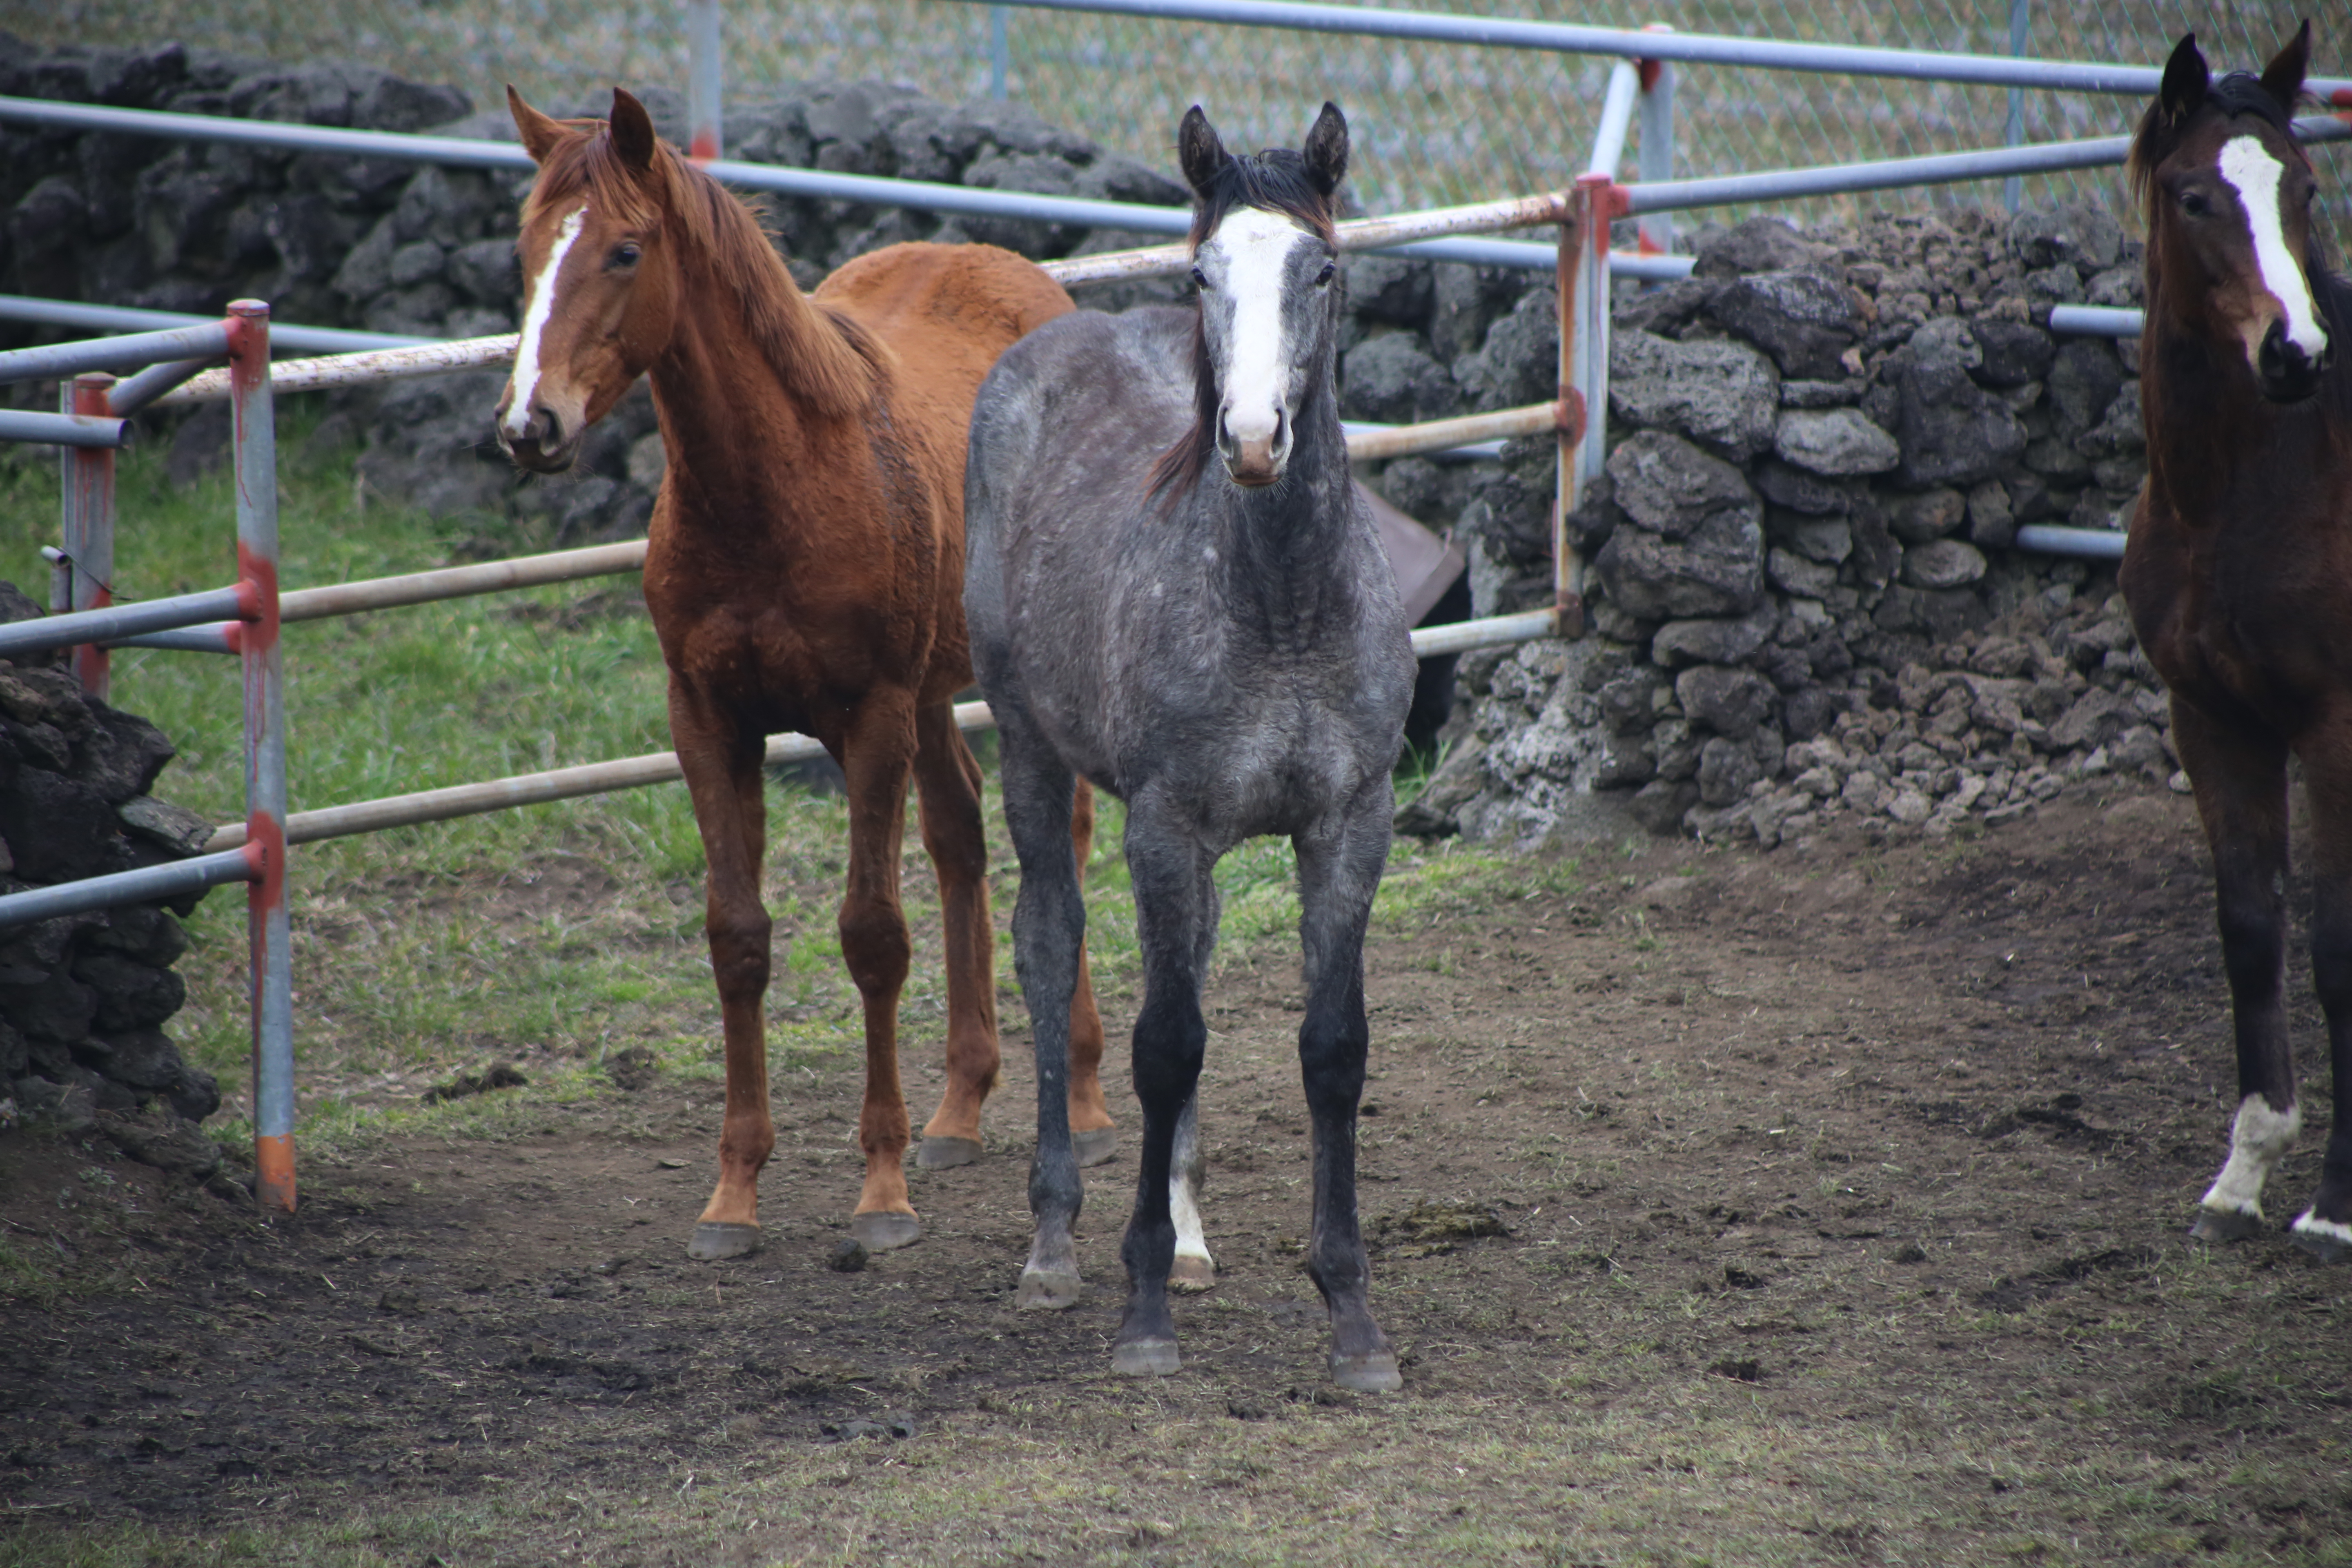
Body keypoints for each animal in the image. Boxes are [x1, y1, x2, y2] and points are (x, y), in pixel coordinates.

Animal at [487, 89, 1110, 1260]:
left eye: (626, 250)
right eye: (527, 249)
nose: (529, 425)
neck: (774, 489)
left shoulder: (867, 719)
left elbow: (872, 937)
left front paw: (882, 1192)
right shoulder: (708, 720)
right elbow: (738, 940)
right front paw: (734, 1196)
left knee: (1067, 842)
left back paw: (1087, 1104)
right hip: (935, 693)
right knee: (960, 837)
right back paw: (960, 1110)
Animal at [960, 104, 1411, 1392]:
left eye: (1322, 270)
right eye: (1204, 272)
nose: (1253, 438)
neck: (1282, 606)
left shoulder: (1349, 822)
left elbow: (1331, 1049)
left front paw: (1352, 1318)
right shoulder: (1160, 823)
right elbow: (1163, 1045)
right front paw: (1144, 1310)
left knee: (1193, 959)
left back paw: (1196, 1235)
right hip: (1026, 744)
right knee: (1048, 945)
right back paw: (1055, 1247)